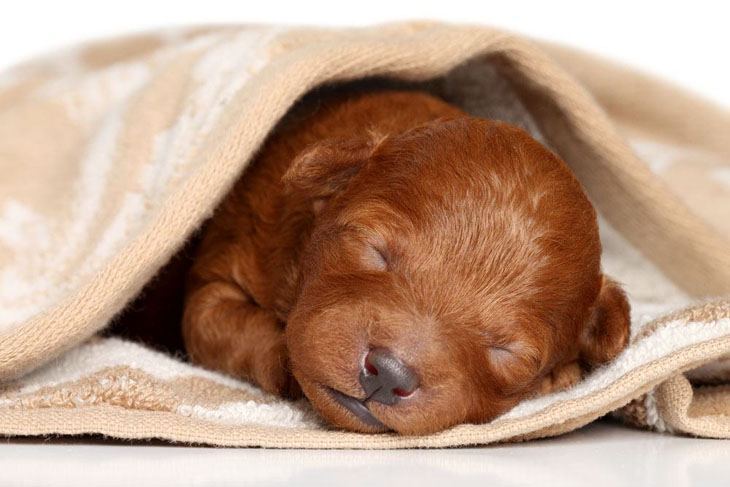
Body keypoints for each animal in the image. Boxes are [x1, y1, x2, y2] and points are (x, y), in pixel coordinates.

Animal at [179, 87, 628, 434]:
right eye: (375, 252)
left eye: (508, 352)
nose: (390, 372)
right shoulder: (220, 275)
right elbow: (226, 326)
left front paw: (559, 377)